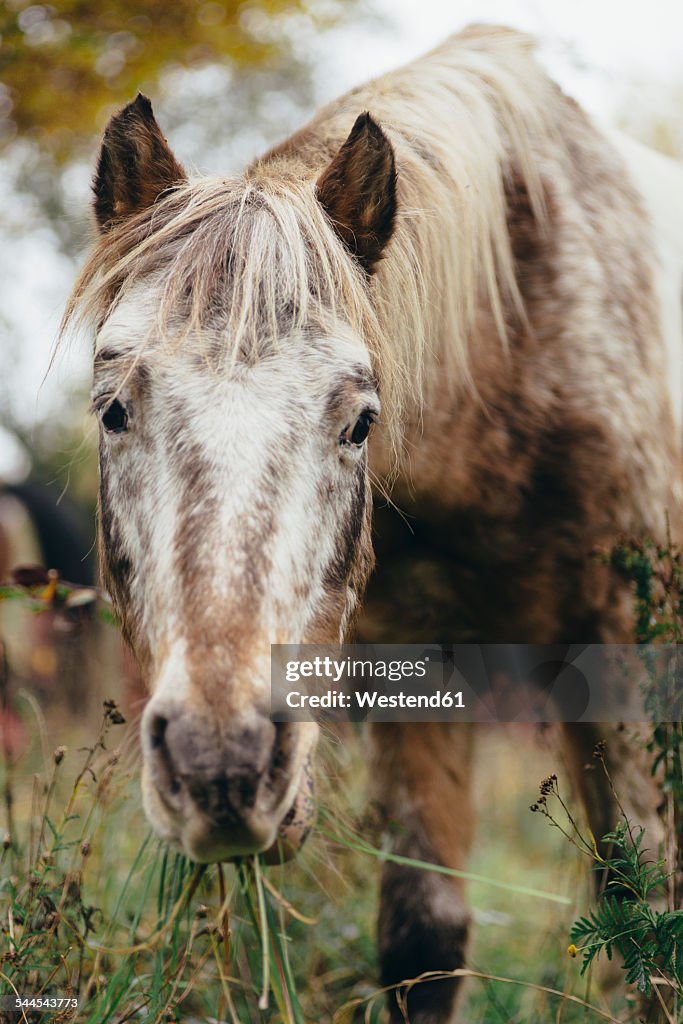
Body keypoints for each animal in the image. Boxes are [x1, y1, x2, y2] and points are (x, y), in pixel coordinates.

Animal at [62, 28, 683, 1019]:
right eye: (112, 409)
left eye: (360, 422)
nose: (220, 766)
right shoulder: (412, 658)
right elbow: (422, 934)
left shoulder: (624, 647)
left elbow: (649, 924)